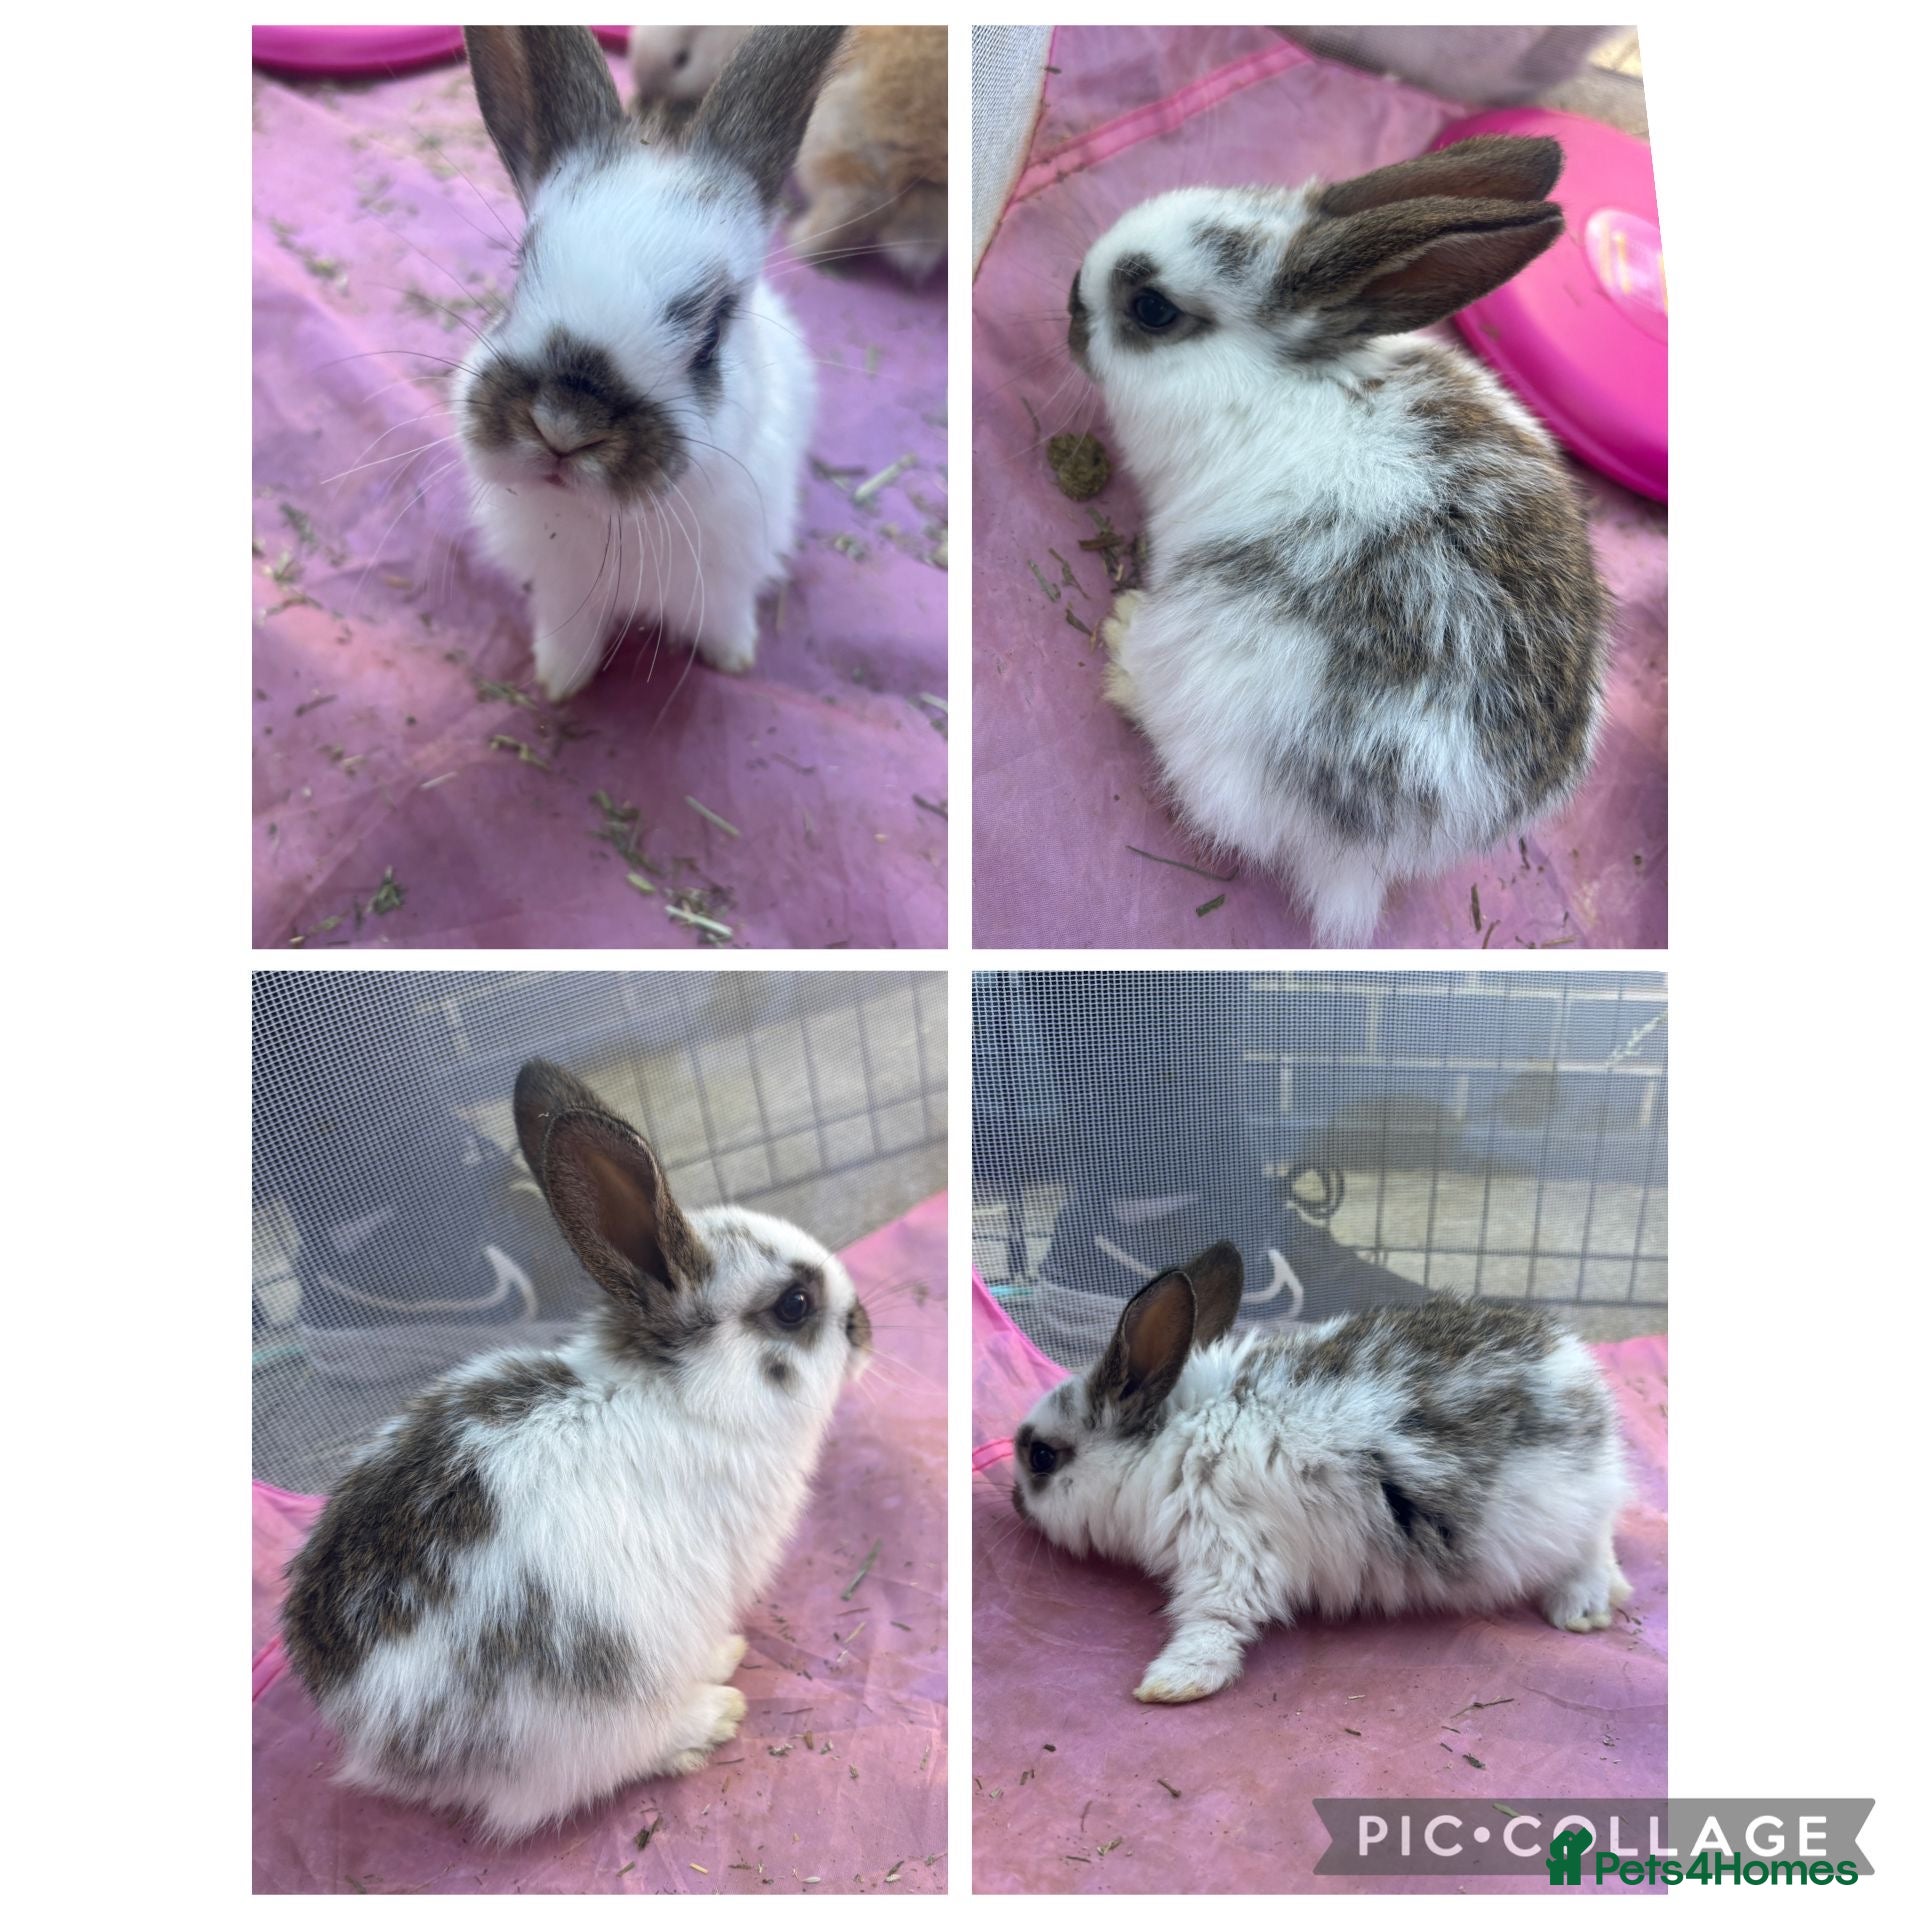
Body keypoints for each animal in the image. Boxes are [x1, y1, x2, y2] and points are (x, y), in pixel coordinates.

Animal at [280, 1058, 874, 1839]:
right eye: (795, 1306)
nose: (866, 1326)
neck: (684, 1396)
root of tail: (372, 1736)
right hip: (593, 1705)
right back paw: (708, 1716)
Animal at [453, 26, 846, 700]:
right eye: (519, 272)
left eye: (712, 334)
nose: (563, 425)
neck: (608, 522)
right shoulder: (562, 593)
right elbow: (569, 640)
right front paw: (559, 683)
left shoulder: (728, 578)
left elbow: (725, 619)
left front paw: (735, 658)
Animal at [1008, 1241, 1630, 1705]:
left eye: (1041, 1457)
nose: (1013, 1502)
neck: (1174, 1439)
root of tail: (1581, 1375)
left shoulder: (1228, 1551)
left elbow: (1213, 1621)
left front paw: (1171, 1682)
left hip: (1556, 1518)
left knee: (1593, 1546)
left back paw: (1581, 1608)